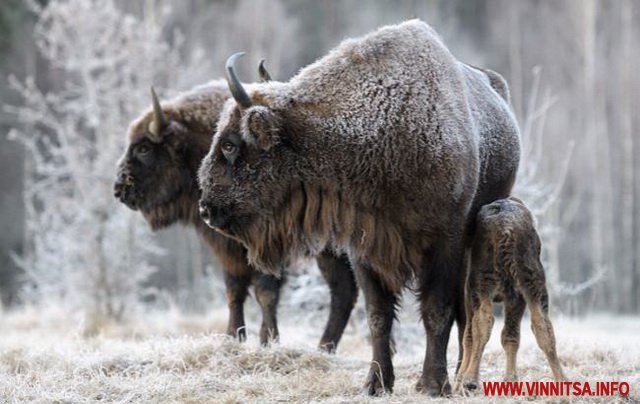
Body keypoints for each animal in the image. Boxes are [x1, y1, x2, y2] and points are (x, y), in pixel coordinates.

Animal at [112, 76, 358, 350]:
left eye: (144, 148)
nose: (119, 189)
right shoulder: (228, 251)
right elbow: (234, 290)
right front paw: (234, 337)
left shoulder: (263, 245)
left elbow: (265, 292)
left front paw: (267, 341)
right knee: (344, 290)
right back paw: (325, 348)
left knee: (343, 290)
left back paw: (324, 347)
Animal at [199, 20, 520, 396]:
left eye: (230, 144)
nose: (206, 208)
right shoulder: (365, 248)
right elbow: (378, 316)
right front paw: (376, 384)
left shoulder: (445, 244)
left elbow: (437, 311)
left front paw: (431, 384)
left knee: (466, 309)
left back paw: (460, 377)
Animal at [460, 197, 564, 390]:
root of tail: (506, 230)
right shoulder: (516, 297)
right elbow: (511, 335)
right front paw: (510, 379)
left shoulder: (467, 290)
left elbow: (468, 334)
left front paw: (460, 378)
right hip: (531, 281)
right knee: (542, 325)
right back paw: (562, 380)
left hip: (482, 282)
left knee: (482, 322)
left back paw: (470, 380)